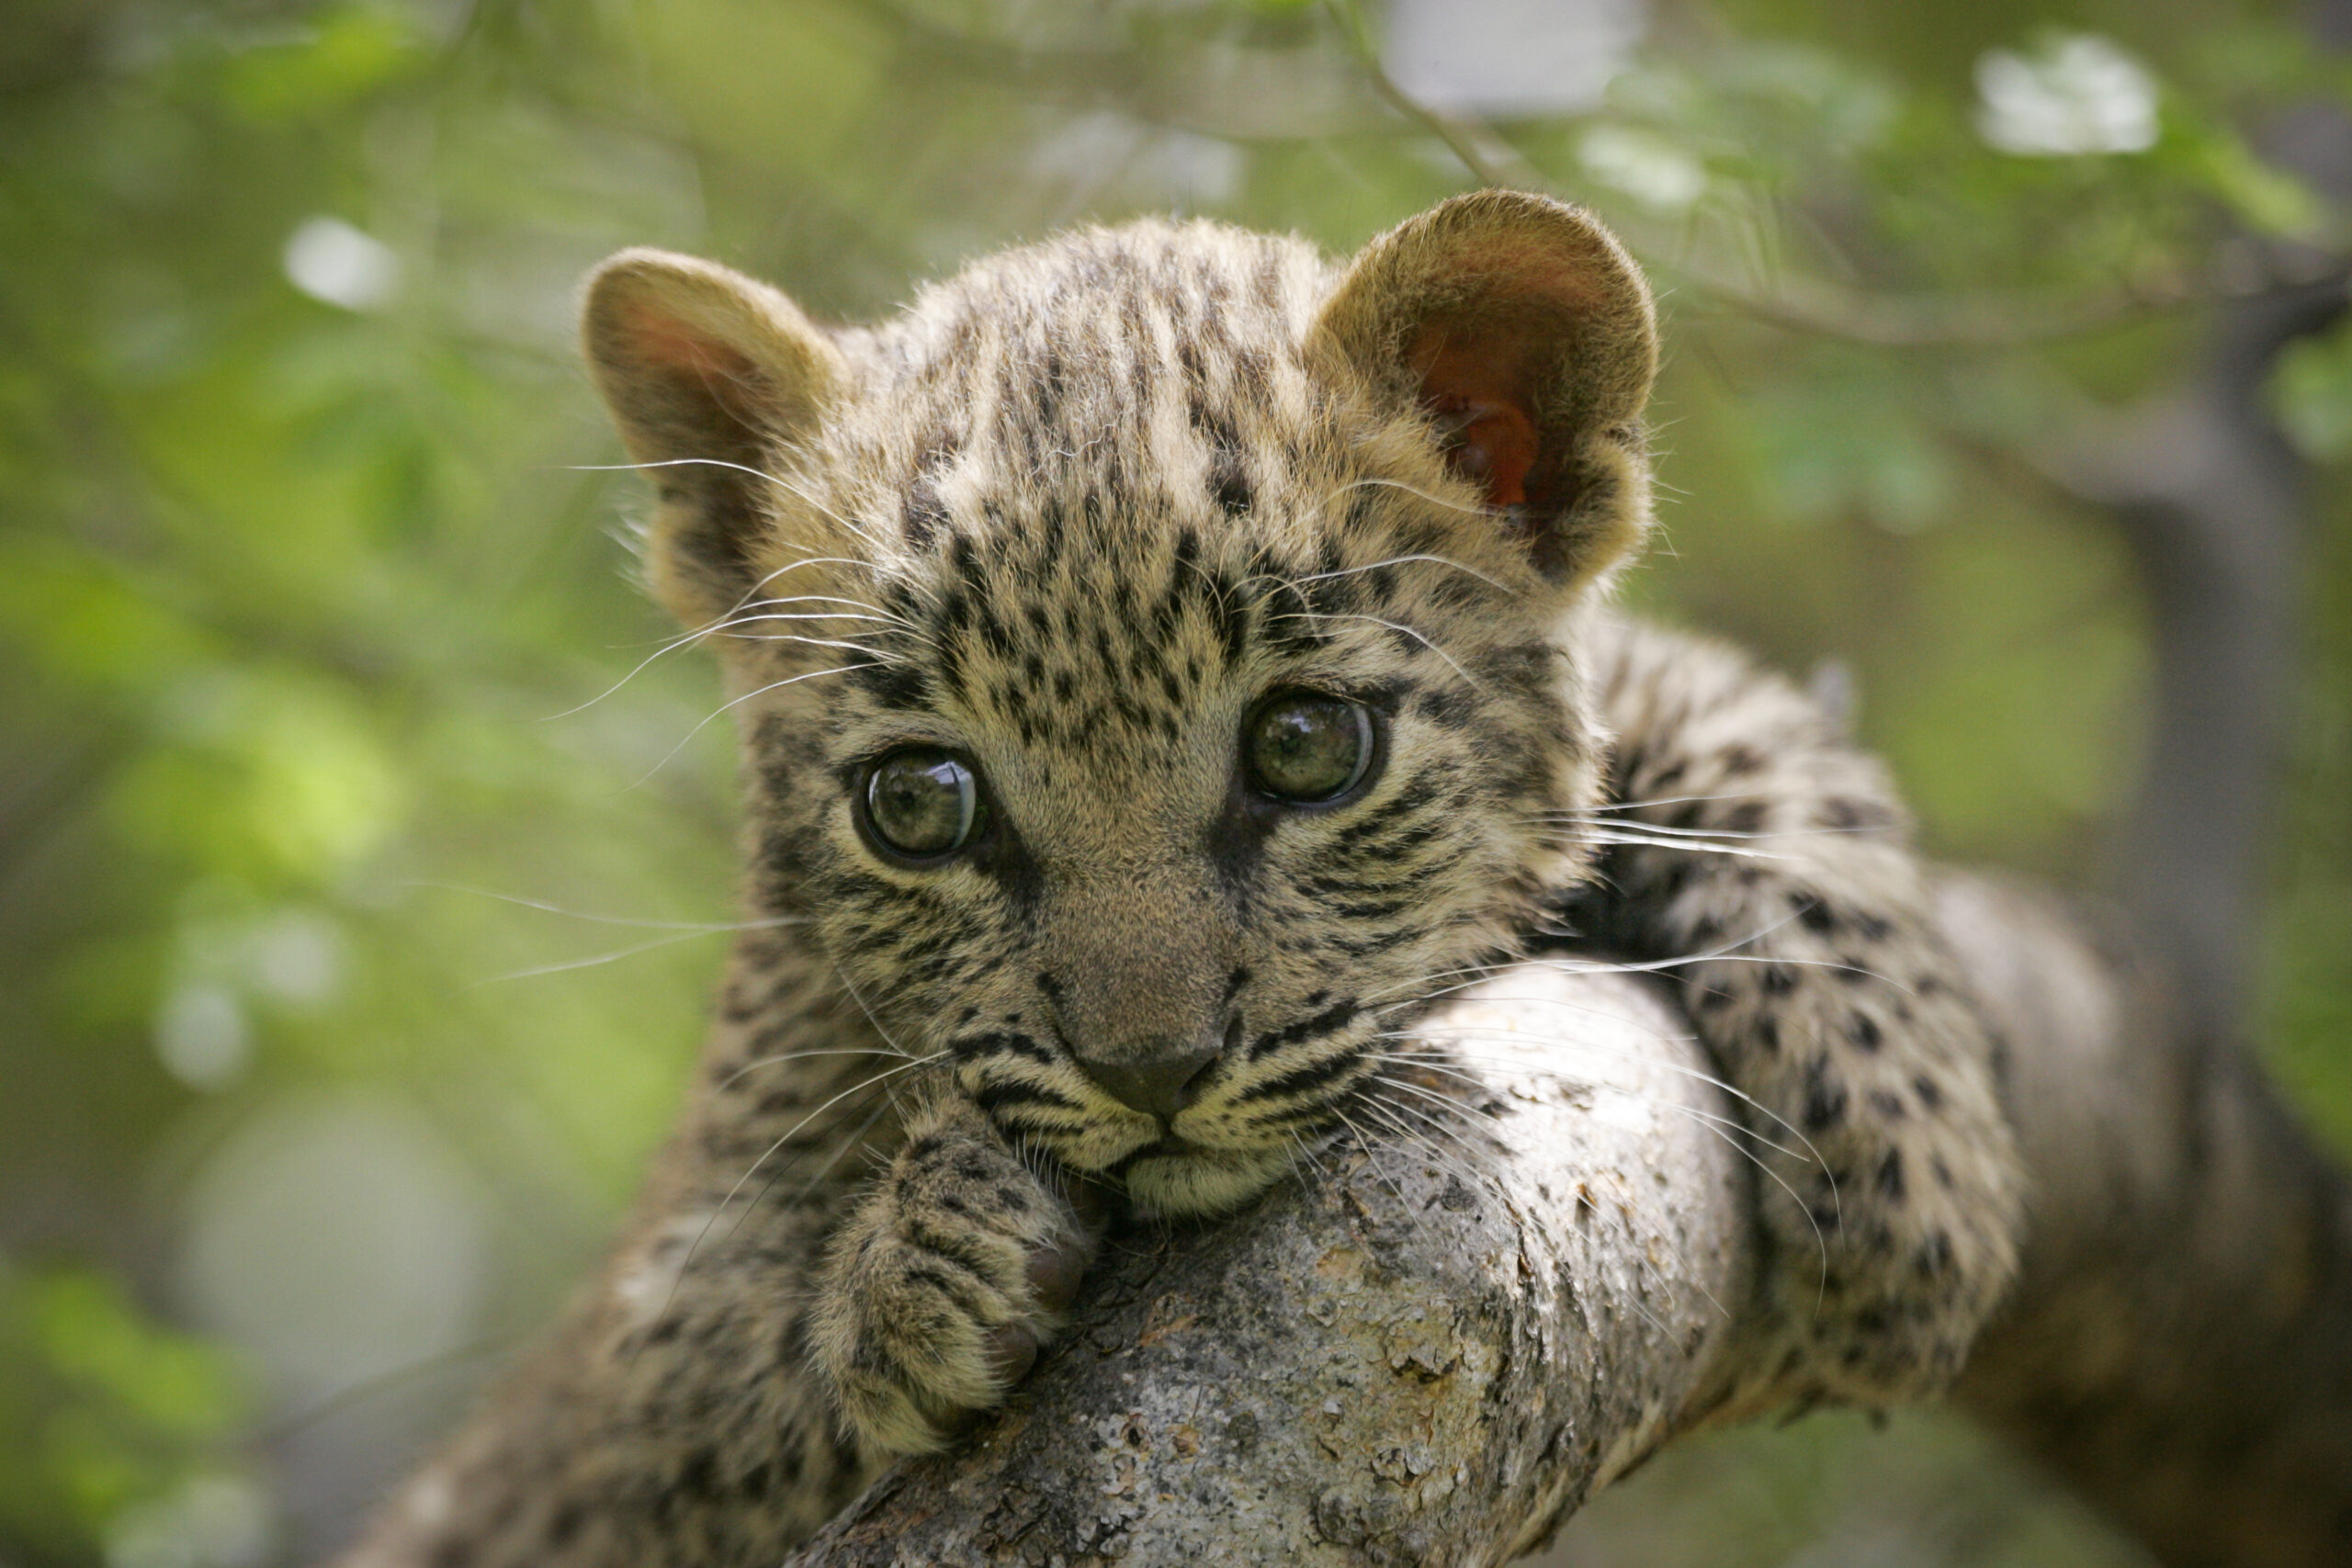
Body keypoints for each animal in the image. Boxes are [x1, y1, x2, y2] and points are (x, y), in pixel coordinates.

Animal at [336, 191, 2024, 1568]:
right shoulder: (647, 1356)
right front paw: (921, 1263)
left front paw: (1916, 1186)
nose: (1150, 1068)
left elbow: (1761, 746)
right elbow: (726, 1372)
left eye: (1304, 745)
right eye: (918, 801)